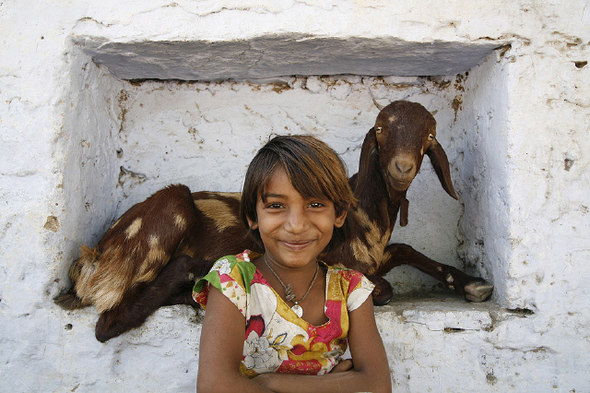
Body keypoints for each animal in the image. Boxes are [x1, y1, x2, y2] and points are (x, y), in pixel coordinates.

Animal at [57, 100, 498, 340]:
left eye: (429, 136)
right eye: (380, 129)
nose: (401, 168)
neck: (369, 221)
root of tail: (93, 257)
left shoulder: (381, 252)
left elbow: (406, 248)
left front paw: (473, 283)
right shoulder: (339, 258)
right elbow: (383, 287)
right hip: (169, 210)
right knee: (108, 321)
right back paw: (196, 279)